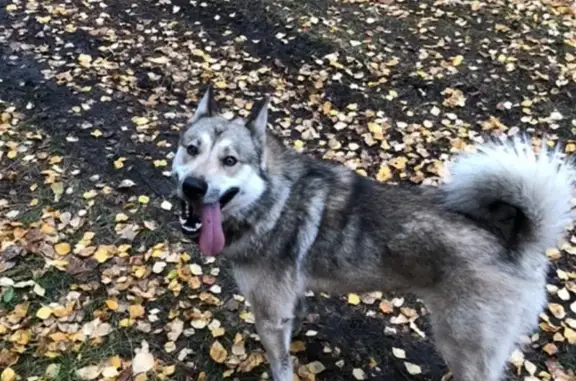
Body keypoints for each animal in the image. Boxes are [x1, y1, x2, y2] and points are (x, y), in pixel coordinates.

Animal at [172, 86, 576, 380]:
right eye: (191, 149)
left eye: (230, 161)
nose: (193, 187)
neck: (272, 199)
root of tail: (519, 243)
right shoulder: (288, 301)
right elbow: (293, 327)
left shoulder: (269, 315)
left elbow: (280, 364)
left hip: (463, 346)